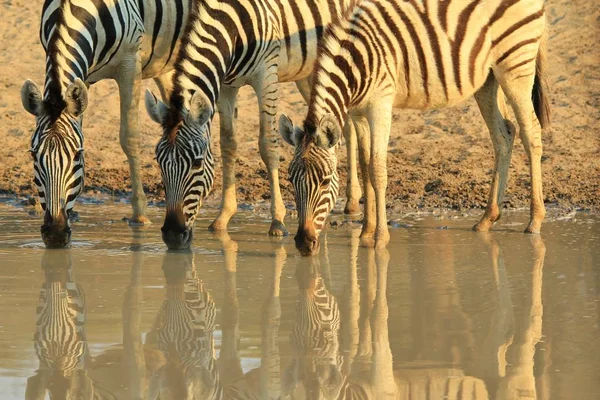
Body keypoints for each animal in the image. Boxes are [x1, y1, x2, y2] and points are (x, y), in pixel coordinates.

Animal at [19, 0, 195, 247]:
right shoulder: (83, 75)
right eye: (34, 156)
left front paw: (140, 215)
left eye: (77, 155)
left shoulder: (130, 62)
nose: (55, 234)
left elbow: (129, 138)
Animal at [143, 0, 364, 250]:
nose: (172, 234)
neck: (230, 23)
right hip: (309, 70)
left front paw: (277, 221)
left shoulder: (266, 74)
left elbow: (267, 145)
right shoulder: (226, 86)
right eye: (158, 162)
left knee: (349, 126)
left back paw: (353, 201)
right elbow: (228, 143)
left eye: (197, 164)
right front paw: (223, 217)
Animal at [278, 0, 552, 255]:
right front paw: (365, 232)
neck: (355, 64)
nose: (303, 243)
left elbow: (377, 169)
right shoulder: (357, 112)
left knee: (531, 133)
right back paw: (488, 218)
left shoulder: (380, 103)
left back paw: (535, 221)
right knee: (504, 134)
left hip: (516, 65)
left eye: (325, 182)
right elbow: (365, 165)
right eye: (290, 180)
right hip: (488, 77)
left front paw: (380, 238)